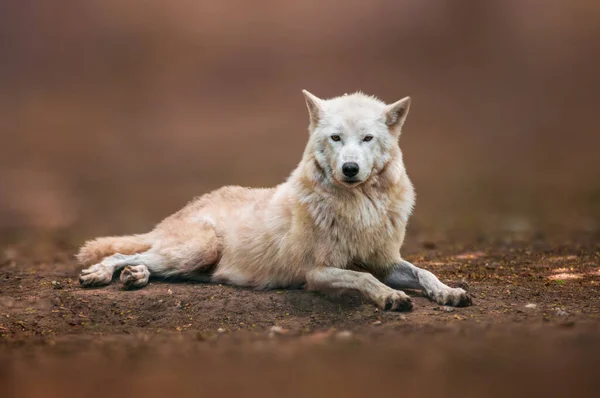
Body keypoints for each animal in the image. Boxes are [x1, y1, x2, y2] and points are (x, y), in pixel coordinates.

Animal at [77, 91, 474, 310]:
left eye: (367, 138)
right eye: (335, 137)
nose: (349, 168)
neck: (359, 207)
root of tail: (187, 206)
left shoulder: (384, 261)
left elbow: (424, 272)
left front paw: (450, 292)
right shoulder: (317, 272)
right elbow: (363, 278)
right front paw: (391, 298)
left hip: (194, 263)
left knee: (149, 263)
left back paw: (136, 277)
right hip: (199, 249)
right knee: (121, 252)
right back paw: (104, 273)